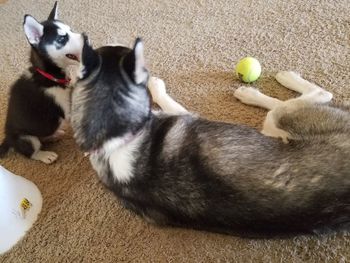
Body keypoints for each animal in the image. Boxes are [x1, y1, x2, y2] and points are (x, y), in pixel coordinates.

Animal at [0, 2, 83, 164]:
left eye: (71, 30)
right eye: (62, 39)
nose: (86, 38)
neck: (49, 76)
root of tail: (8, 139)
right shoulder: (65, 109)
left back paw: (54, 135)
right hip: (27, 138)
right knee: (31, 152)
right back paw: (45, 155)